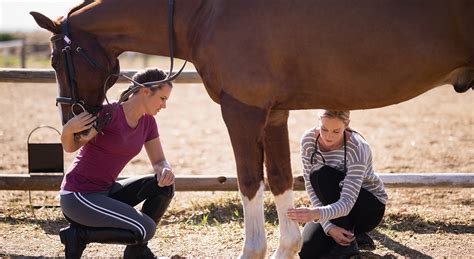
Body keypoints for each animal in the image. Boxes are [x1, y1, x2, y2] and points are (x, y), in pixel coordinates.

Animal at [31, 1, 472, 258]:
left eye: (54, 59)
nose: (76, 129)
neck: (206, 12)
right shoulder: (274, 115)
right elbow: (279, 180)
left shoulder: (241, 112)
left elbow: (248, 182)